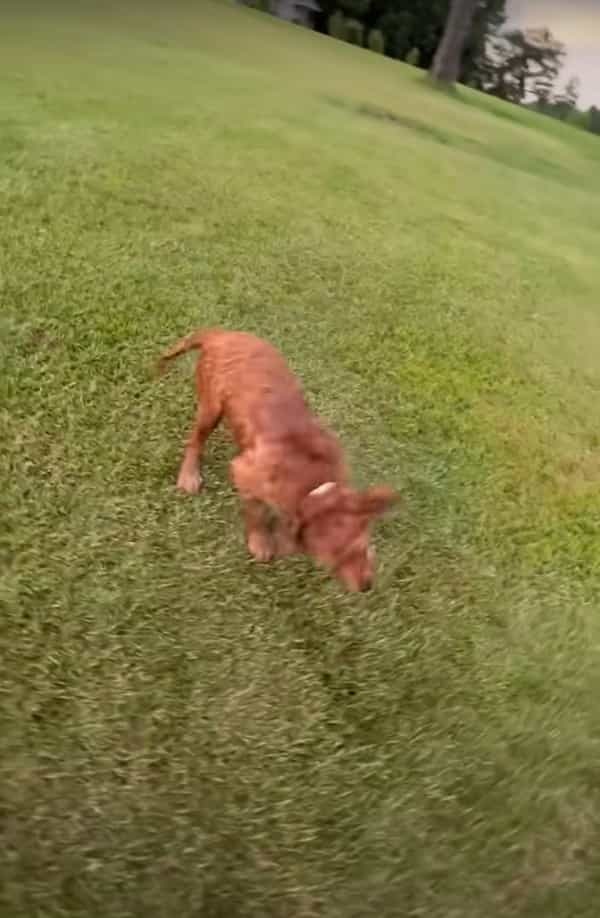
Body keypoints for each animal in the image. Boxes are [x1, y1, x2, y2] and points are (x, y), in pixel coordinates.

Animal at [159, 330, 398, 596]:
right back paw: (189, 474)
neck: (311, 479)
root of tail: (222, 334)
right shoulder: (247, 473)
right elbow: (256, 512)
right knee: (195, 441)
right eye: (335, 561)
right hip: (211, 407)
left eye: (363, 546)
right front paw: (260, 541)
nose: (366, 586)